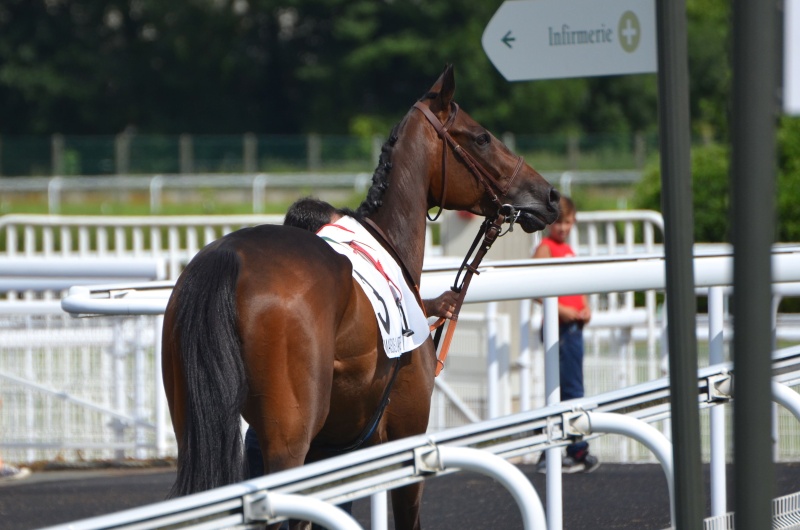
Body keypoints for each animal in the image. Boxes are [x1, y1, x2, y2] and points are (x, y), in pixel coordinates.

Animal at [162, 66, 560, 528]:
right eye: (482, 137)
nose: (550, 196)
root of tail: (227, 259)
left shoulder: (330, 448)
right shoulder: (408, 431)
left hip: (194, 424)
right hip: (286, 440)